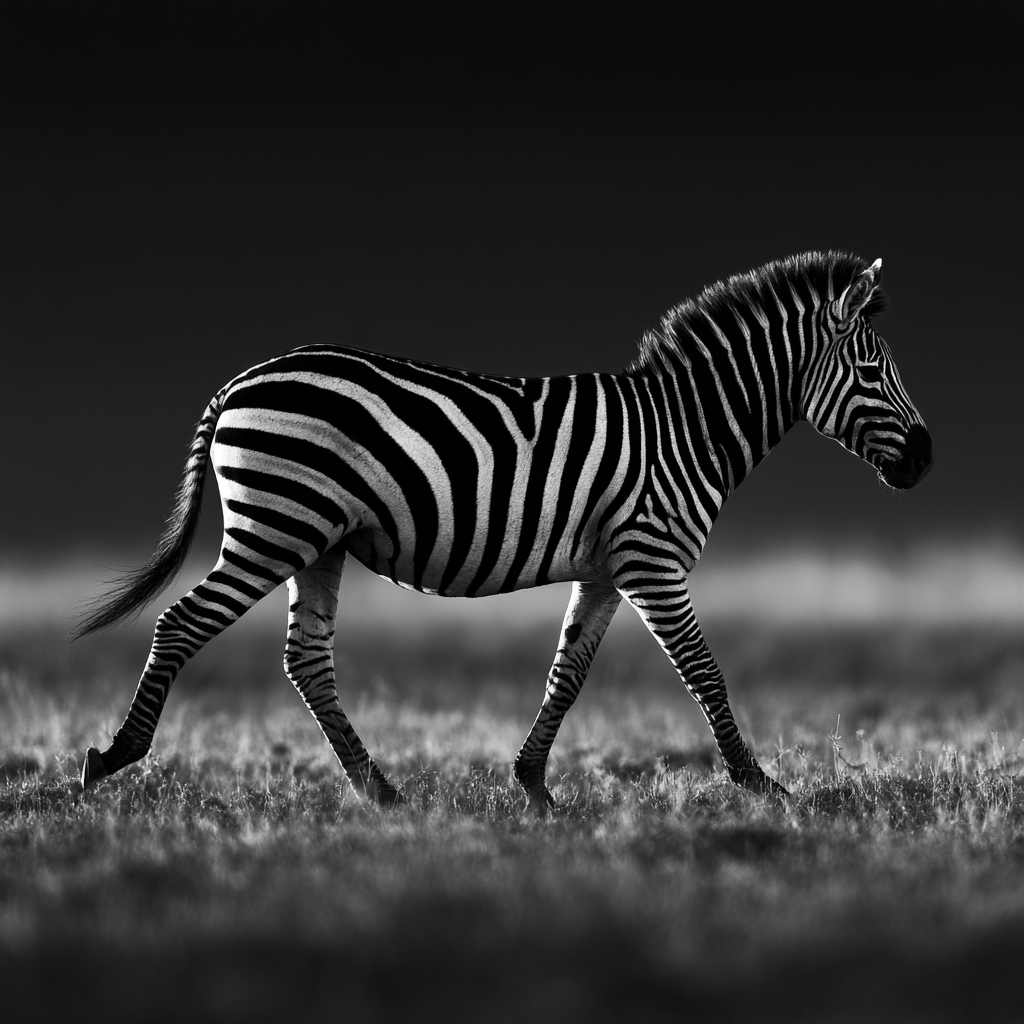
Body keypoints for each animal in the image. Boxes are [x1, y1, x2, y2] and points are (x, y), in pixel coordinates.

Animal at [74, 251, 932, 810]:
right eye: (871, 372)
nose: (927, 460)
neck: (687, 428)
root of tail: (239, 380)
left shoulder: (607, 568)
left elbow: (568, 673)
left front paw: (533, 786)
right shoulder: (653, 560)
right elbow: (704, 671)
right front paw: (762, 785)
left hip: (316, 540)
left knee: (306, 660)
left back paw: (380, 792)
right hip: (276, 525)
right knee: (182, 622)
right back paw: (113, 757)